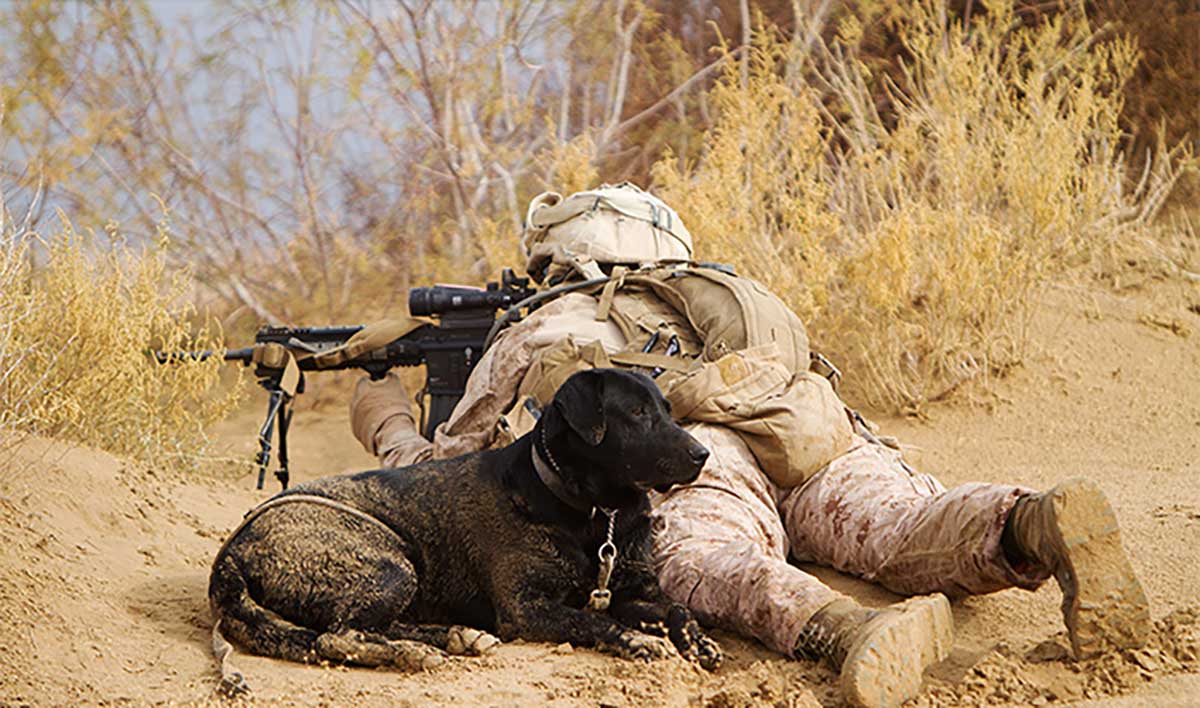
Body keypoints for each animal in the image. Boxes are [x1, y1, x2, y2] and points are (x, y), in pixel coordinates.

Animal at [207, 369, 720, 686]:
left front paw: (697, 641)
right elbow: (594, 619)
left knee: (374, 627)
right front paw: (637, 639)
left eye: (667, 409)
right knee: (340, 635)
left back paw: (456, 636)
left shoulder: (632, 591)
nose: (703, 455)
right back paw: (415, 653)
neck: (594, 513)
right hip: (390, 565)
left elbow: (677, 608)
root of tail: (231, 552)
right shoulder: (526, 608)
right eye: (635, 413)